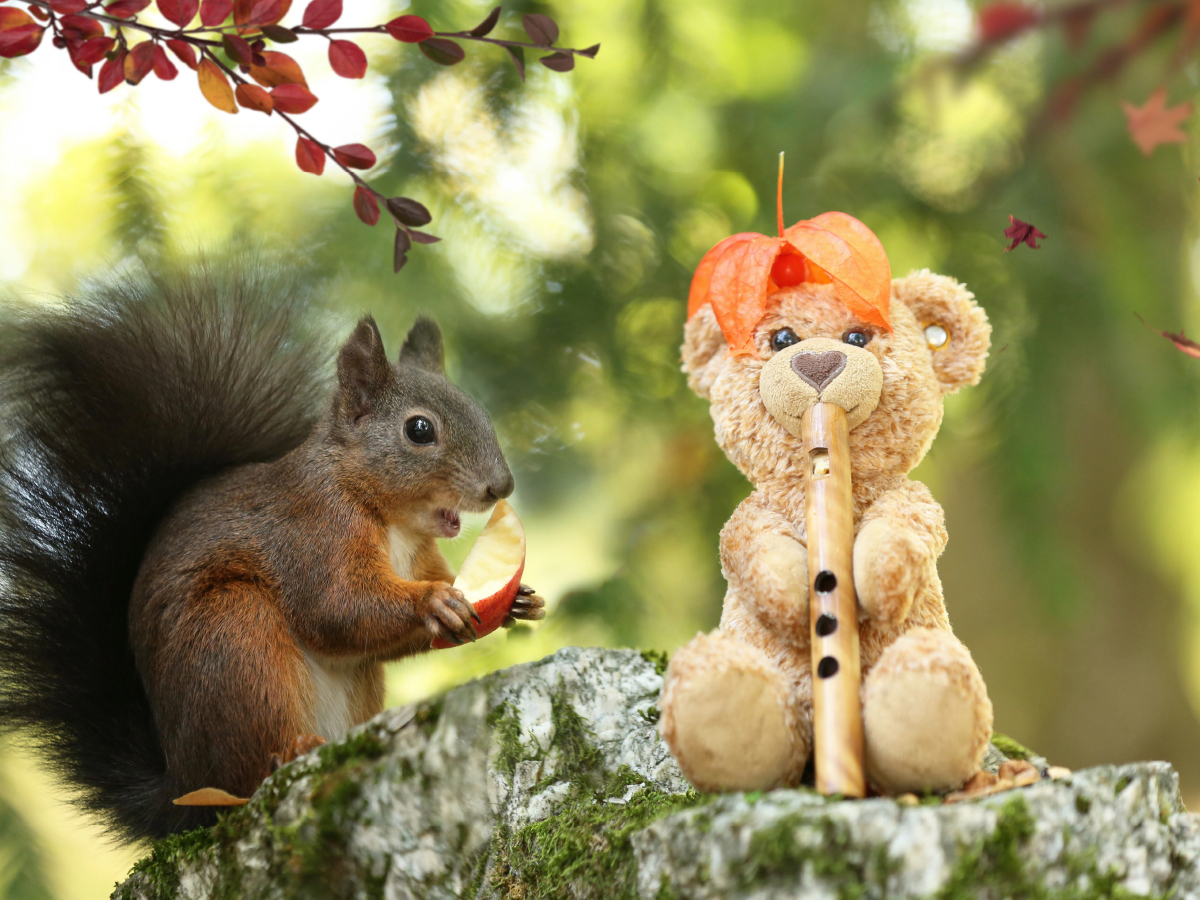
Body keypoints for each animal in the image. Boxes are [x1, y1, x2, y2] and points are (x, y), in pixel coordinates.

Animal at [0, 255, 540, 844]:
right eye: (419, 429)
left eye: (479, 410)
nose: (502, 486)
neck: (388, 517)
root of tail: (181, 788)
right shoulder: (312, 531)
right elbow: (336, 608)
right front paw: (433, 603)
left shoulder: (420, 556)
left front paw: (518, 601)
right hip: (234, 639)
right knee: (245, 776)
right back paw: (292, 753)